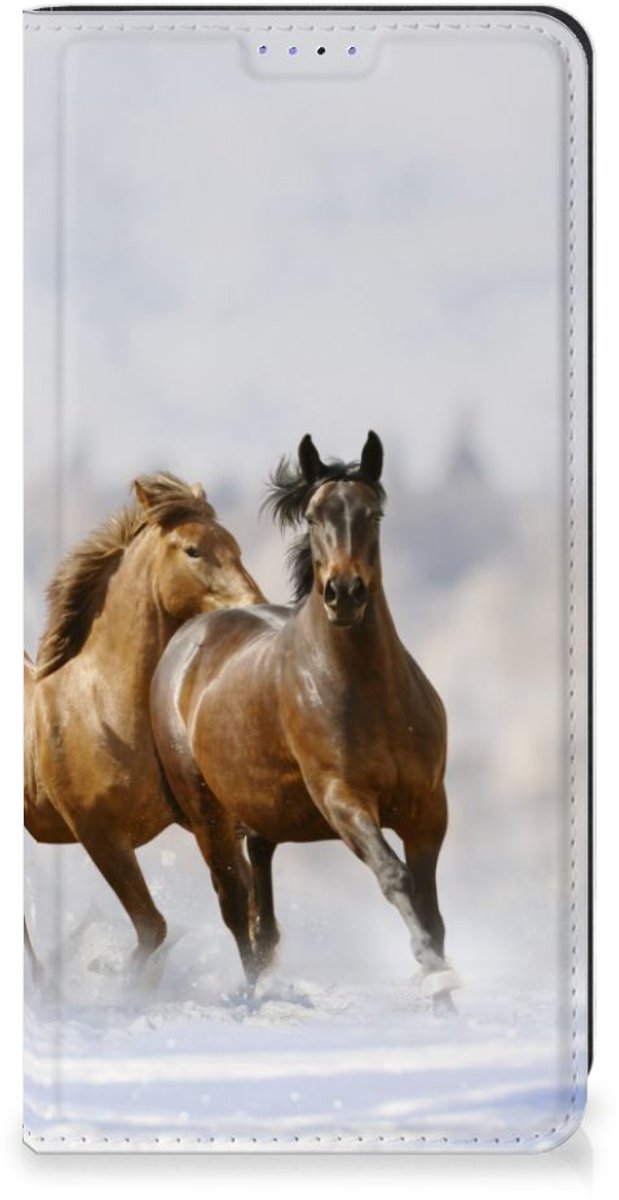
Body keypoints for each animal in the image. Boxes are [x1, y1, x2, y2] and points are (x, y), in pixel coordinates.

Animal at [24, 471, 264, 965]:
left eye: (235, 546)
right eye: (192, 550)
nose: (254, 604)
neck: (103, 709)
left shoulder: (206, 821)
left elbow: (242, 905)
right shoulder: (100, 835)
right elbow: (153, 927)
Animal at [150, 434, 459, 1008]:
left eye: (373, 513)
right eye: (314, 517)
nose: (344, 593)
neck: (370, 693)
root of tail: (187, 639)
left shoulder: (428, 807)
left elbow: (431, 908)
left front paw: (445, 998)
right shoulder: (343, 799)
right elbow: (395, 878)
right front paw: (434, 976)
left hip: (262, 812)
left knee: (261, 906)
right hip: (207, 814)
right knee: (234, 904)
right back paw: (254, 996)